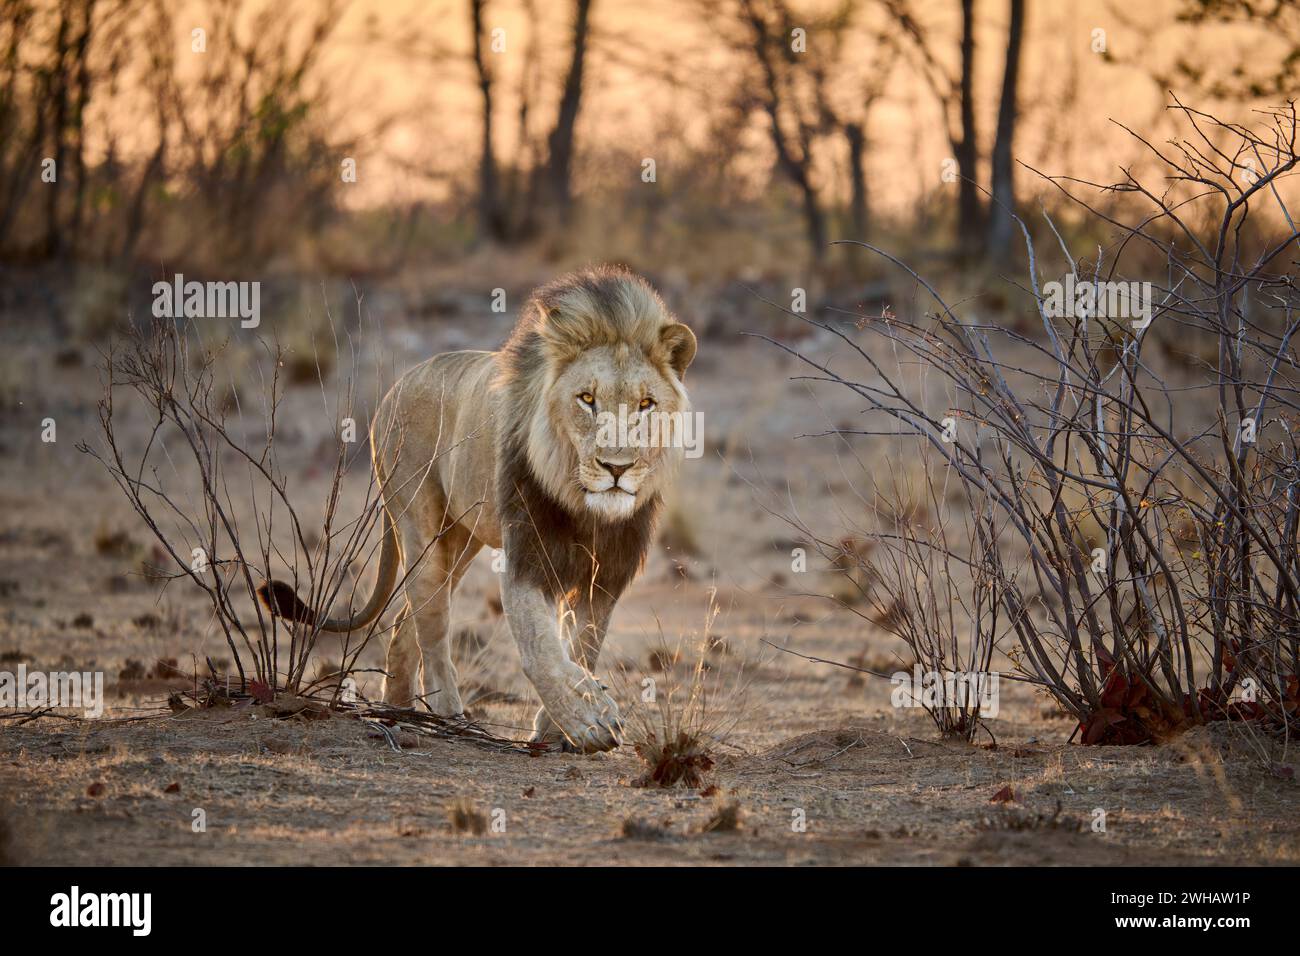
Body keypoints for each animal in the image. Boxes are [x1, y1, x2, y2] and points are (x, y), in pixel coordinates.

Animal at [257, 265, 696, 749]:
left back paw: (397, 711)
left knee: (403, 624)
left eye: (646, 404)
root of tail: (395, 388)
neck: (586, 506)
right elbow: (541, 648)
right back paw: (450, 718)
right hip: (421, 532)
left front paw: (557, 726)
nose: (617, 467)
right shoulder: (527, 558)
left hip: (462, 540)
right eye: (587, 399)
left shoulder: (607, 573)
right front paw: (587, 719)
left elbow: (583, 647)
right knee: (430, 626)